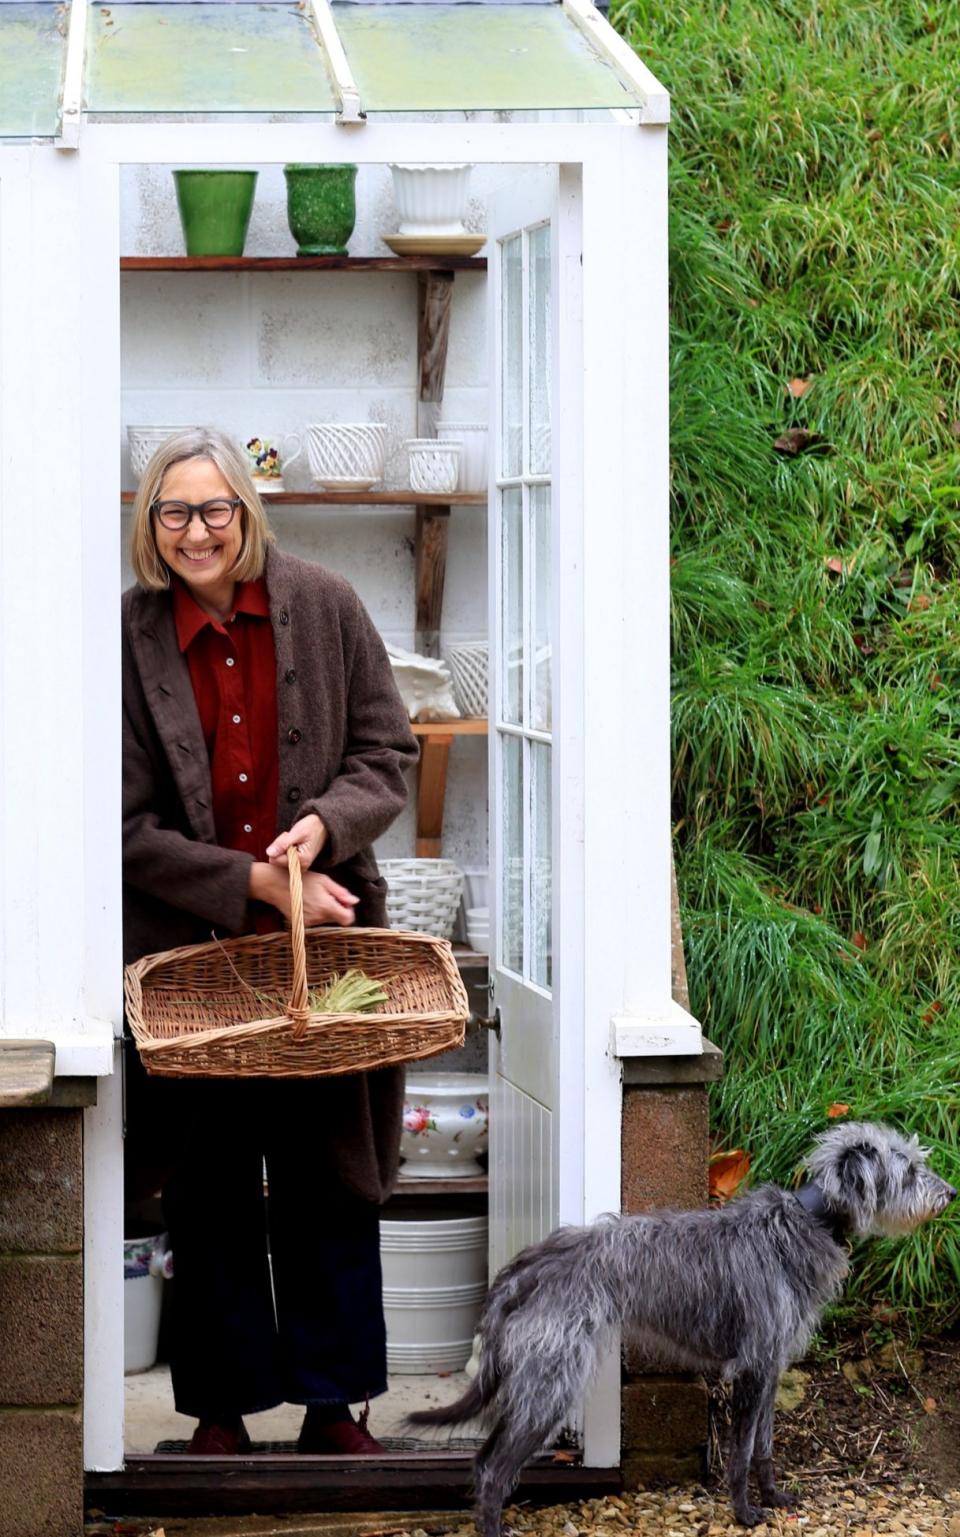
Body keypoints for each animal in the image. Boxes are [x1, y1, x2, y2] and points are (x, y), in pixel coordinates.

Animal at [408, 1125, 952, 1530]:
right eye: (908, 1169)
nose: (949, 1193)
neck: (808, 1220)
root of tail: (531, 1262)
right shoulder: (751, 1371)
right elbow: (740, 1454)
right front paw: (744, 1512)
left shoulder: (771, 1369)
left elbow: (763, 1448)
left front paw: (774, 1497)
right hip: (552, 1382)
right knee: (494, 1469)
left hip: (537, 1378)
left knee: (484, 1459)